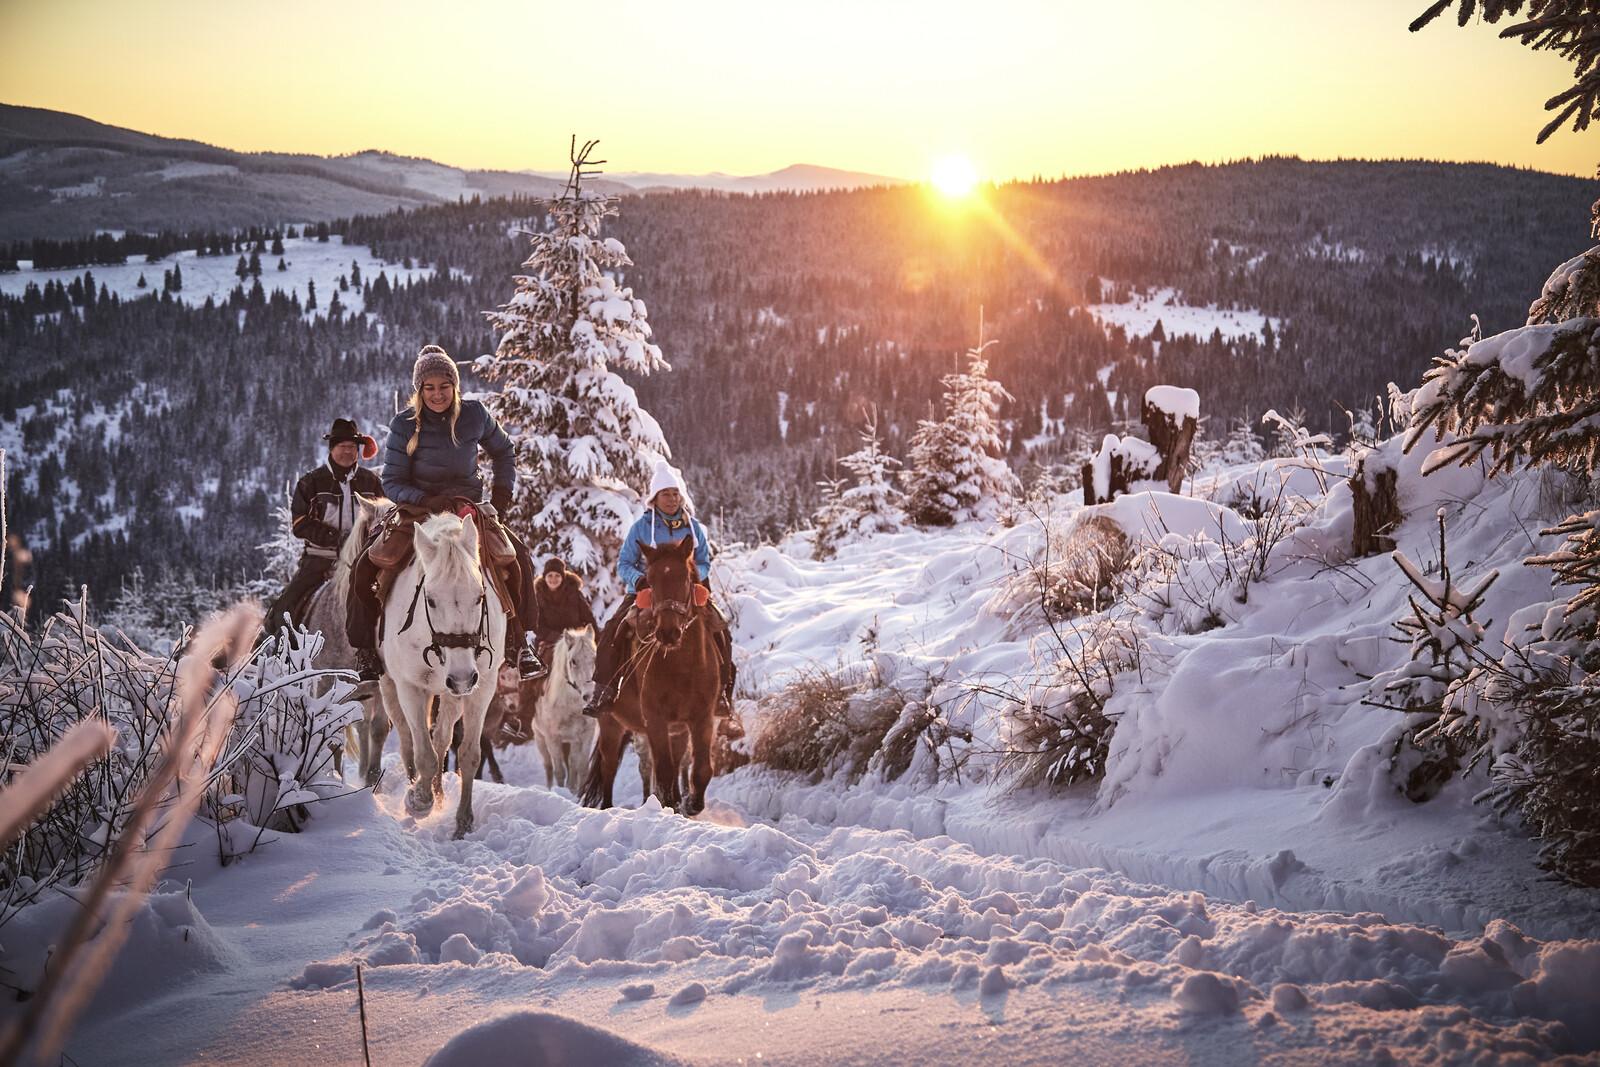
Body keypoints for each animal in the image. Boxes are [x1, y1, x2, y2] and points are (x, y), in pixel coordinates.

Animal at [377, 508, 502, 831]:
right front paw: (418, 800)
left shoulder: (482, 686)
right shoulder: (410, 687)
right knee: (408, 739)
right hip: (390, 685)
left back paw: (439, 794)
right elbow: (423, 753)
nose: (461, 678)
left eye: (480, 596)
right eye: (431, 600)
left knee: (441, 739)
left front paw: (463, 821)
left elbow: (468, 754)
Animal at [534, 633, 598, 793]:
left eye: (594, 657)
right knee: (548, 766)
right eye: (573, 661)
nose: (590, 695)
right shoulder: (552, 739)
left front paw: (578, 793)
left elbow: (581, 767)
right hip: (539, 739)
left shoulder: (585, 735)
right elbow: (559, 771)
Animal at [582, 543, 720, 819]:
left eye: (684, 578)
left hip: (676, 730)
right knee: (608, 767)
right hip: (611, 724)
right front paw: (671, 805)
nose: (668, 633)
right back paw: (608, 807)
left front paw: (691, 804)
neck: (683, 668)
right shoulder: (656, 720)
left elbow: (701, 769)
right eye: (651, 580)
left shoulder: (702, 717)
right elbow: (664, 772)